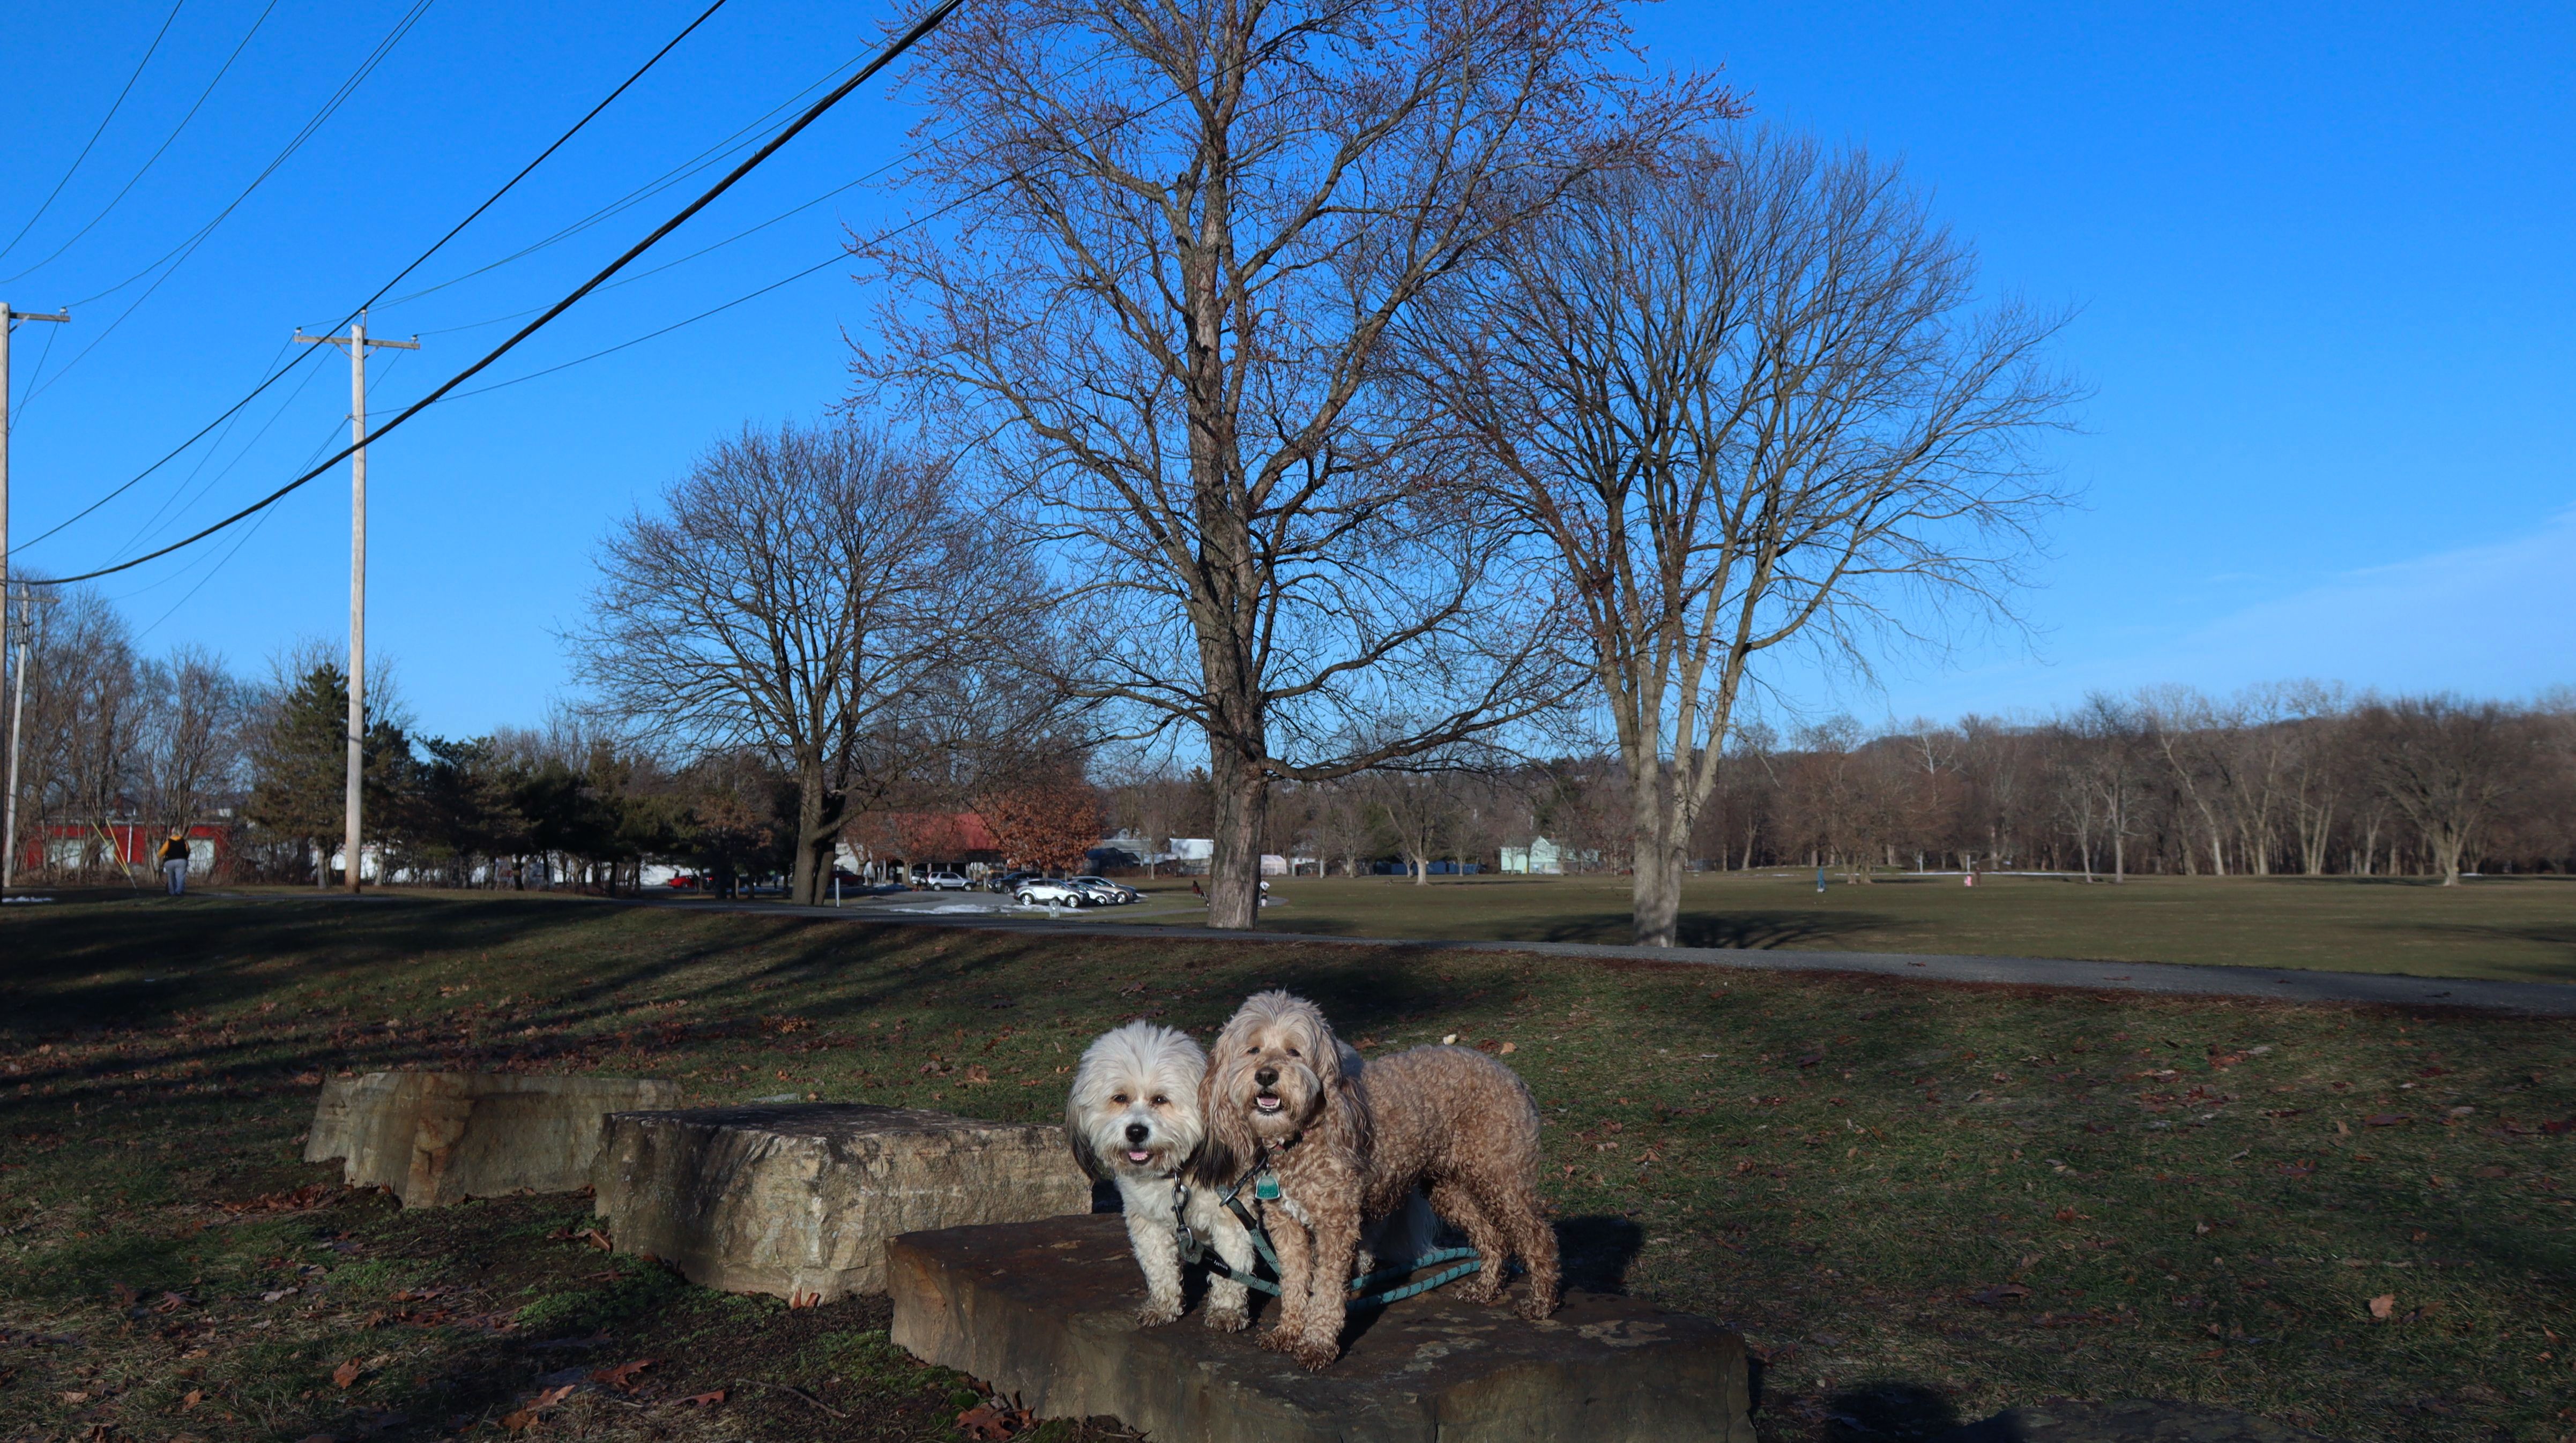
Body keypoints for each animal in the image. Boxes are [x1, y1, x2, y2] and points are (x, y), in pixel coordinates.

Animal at [1066, 1019, 1438, 1333]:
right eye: (1119, 1098)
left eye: (1161, 1100)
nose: (1136, 1131)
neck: (1179, 1172)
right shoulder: (1147, 1221)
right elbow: (1159, 1267)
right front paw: (1163, 1306)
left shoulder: (1232, 1212)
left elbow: (1233, 1269)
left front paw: (1226, 1312)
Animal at [1205, 991, 1560, 1370]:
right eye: (1253, 1049)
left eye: (1294, 1052)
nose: (1266, 1075)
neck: (1303, 1135)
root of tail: (1511, 1075)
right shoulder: (1285, 1224)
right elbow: (1295, 1282)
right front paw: (1288, 1331)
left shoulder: (1336, 1224)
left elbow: (1327, 1289)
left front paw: (1317, 1343)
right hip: (1448, 1189)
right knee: (1491, 1236)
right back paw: (1486, 1287)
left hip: (1504, 1181)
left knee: (1539, 1238)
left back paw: (1541, 1301)